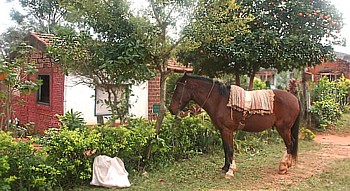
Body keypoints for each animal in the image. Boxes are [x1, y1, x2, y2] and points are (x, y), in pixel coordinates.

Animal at [168, 74, 300, 178]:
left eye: (178, 90)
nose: (171, 109)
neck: (220, 100)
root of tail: (294, 98)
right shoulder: (222, 130)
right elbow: (226, 148)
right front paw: (225, 167)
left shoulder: (227, 130)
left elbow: (230, 149)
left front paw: (230, 171)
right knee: (291, 144)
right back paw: (288, 164)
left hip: (283, 128)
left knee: (290, 144)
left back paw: (283, 167)